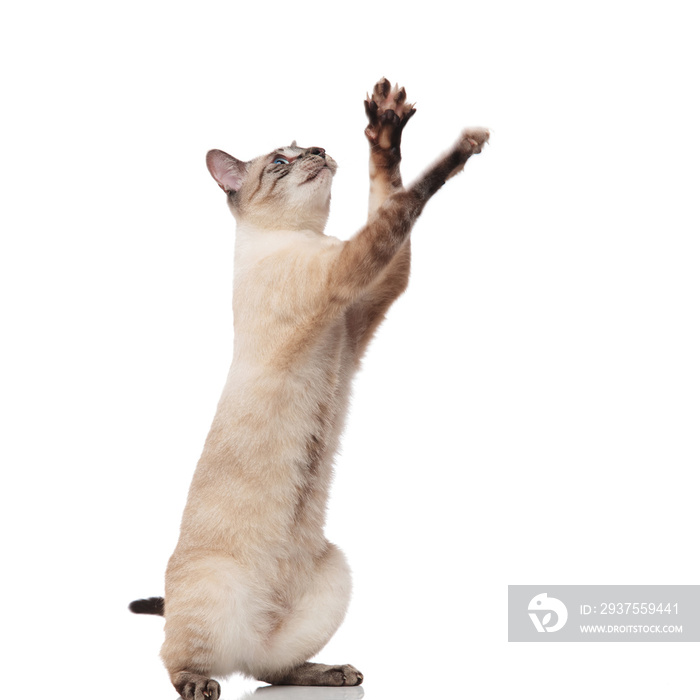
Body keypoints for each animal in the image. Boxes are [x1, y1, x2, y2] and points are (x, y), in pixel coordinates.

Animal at [131, 79, 490, 696]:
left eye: (308, 148)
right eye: (280, 162)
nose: (319, 153)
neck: (305, 237)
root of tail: (254, 629)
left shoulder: (371, 296)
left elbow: (391, 192)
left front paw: (387, 131)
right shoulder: (350, 269)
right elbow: (408, 199)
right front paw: (462, 146)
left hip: (335, 573)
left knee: (269, 669)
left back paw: (331, 671)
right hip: (214, 592)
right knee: (179, 657)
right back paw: (200, 683)